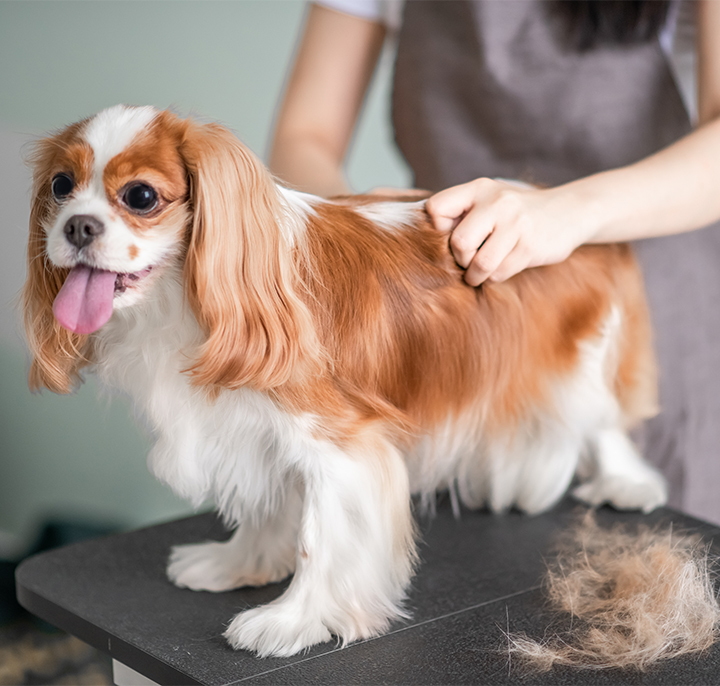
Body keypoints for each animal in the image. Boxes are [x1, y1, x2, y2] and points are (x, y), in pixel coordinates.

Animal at [25, 105, 668, 660]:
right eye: (60, 186)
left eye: (140, 196)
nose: (77, 226)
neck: (183, 300)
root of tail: (552, 202)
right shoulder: (249, 430)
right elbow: (262, 505)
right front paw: (238, 565)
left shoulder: (341, 447)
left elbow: (321, 540)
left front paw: (290, 621)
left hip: (579, 362)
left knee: (603, 421)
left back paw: (625, 483)